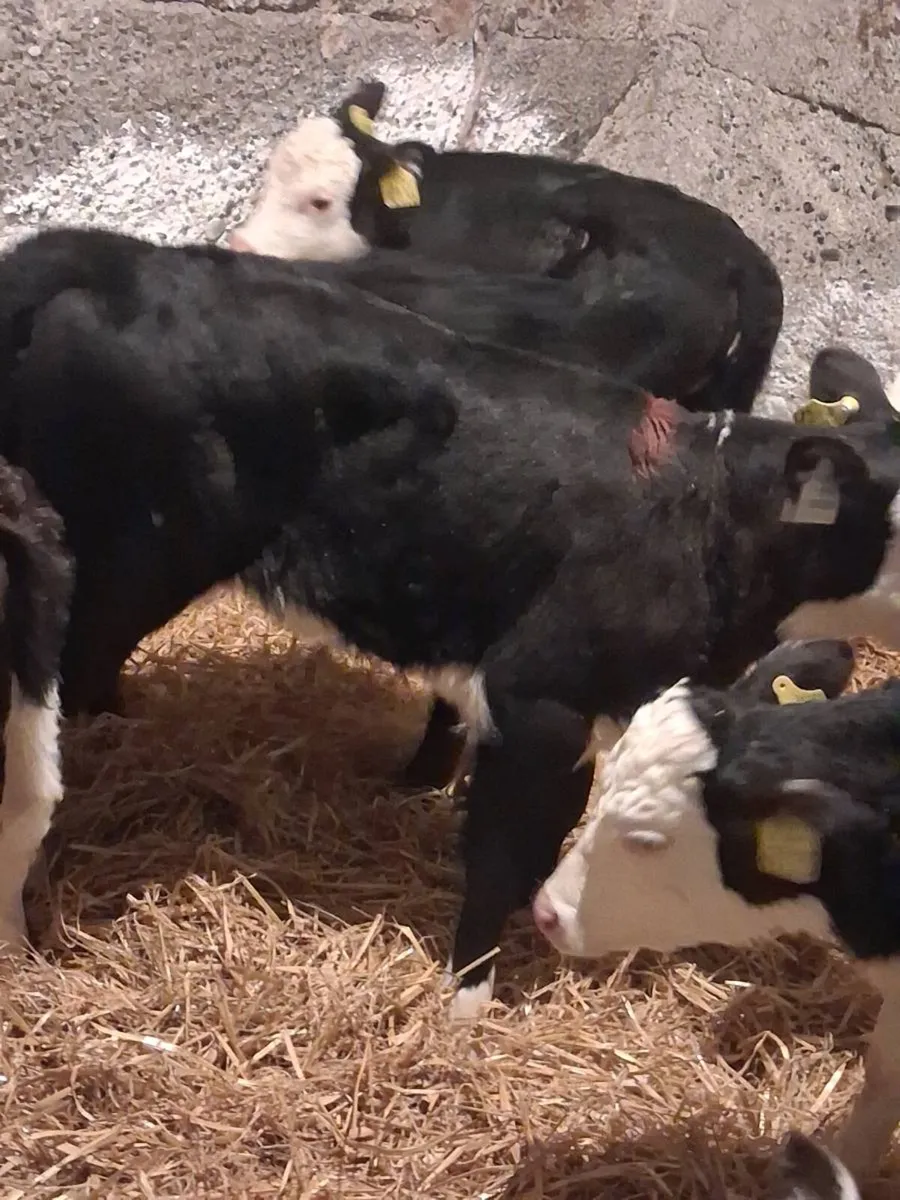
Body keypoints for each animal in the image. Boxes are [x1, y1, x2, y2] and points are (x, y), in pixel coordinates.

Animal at [5, 223, 900, 1021]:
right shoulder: (540, 694)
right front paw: (467, 1000)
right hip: (117, 559)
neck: (714, 517)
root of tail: (117, 256)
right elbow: (504, 854)